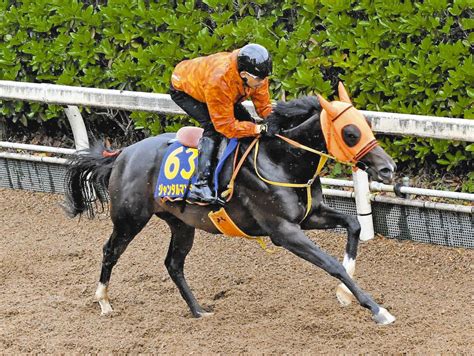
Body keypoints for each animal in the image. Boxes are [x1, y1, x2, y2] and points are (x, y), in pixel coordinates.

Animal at [63, 83, 396, 326]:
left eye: (368, 124)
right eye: (350, 133)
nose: (388, 168)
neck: (280, 159)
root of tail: (123, 154)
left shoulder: (308, 216)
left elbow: (353, 225)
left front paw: (344, 294)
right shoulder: (284, 231)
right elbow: (331, 264)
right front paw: (377, 309)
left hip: (181, 223)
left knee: (173, 263)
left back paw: (198, 310)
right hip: (130, 218)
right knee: (111, 250)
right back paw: (103, 300)